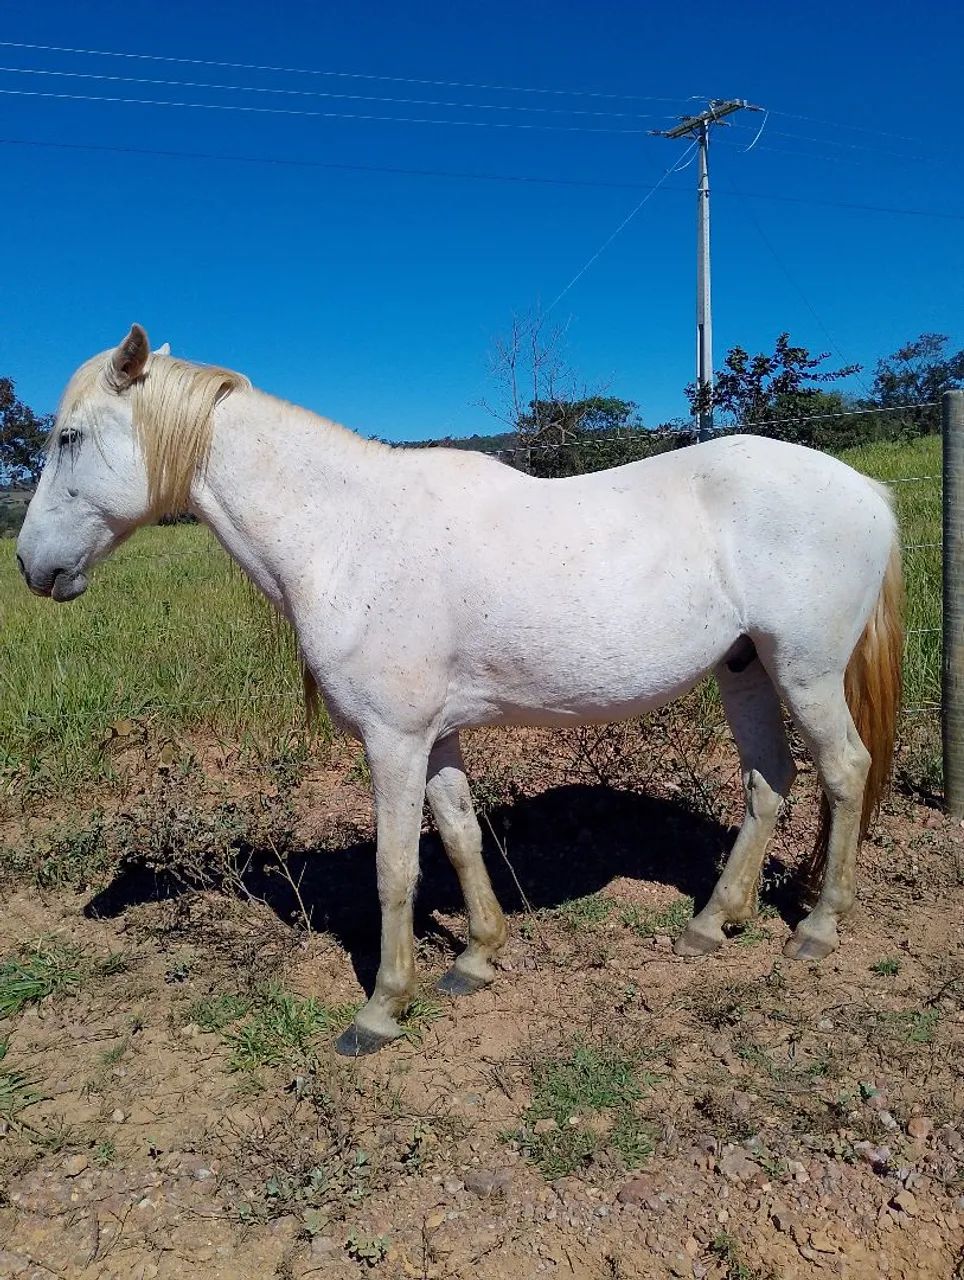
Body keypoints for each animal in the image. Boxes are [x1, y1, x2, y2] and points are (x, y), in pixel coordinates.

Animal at [17, 326, 903, 1056]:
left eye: (68, 437)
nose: (31, 566)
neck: (345, 536)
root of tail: (867, 492)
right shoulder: (433, 737)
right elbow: (460, 837)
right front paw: (477, 957)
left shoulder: (393, 740)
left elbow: (394, 868)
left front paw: (382, 1009)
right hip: (744, 668)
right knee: (768, 784)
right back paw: (714, 924)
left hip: (805, 671)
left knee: (844, 773)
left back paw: (818, 928)